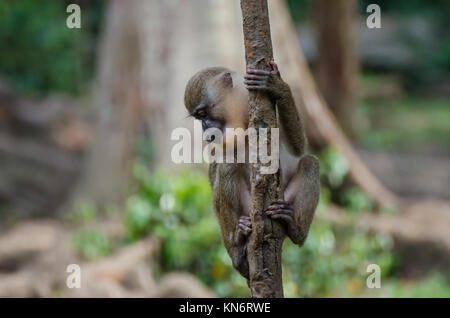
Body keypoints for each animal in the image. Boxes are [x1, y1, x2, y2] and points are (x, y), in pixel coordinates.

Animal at [184, 60, 320, 280]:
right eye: (198, 118)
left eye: (203, 114)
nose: (205, 129)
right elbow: (216, 172)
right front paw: (234, 251)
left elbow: (298, 148)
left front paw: (278, 86)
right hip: (247, 208)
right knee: (227, 165)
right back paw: (237, 238)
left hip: (281, 198)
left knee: (311, 163)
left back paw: (295, 229)